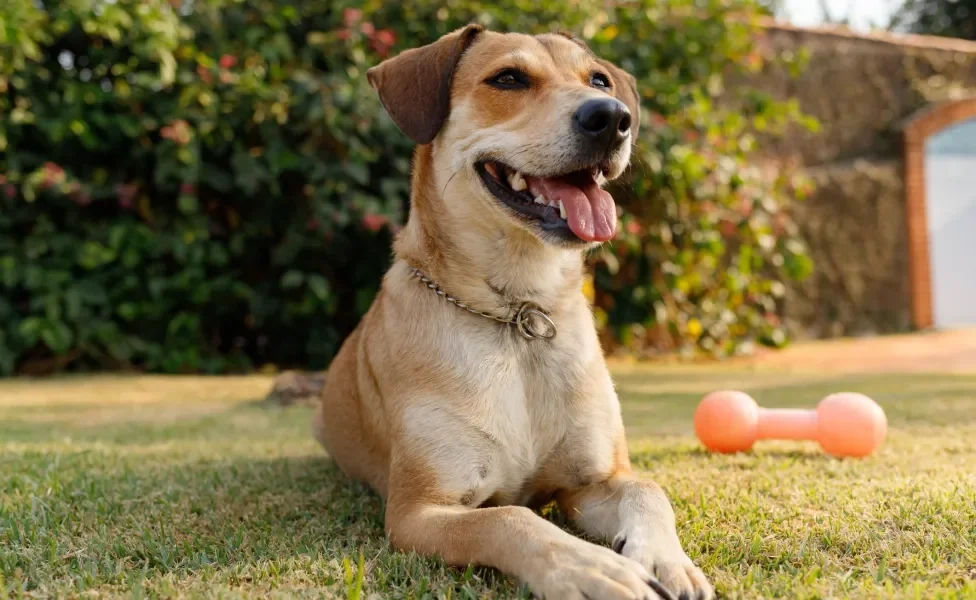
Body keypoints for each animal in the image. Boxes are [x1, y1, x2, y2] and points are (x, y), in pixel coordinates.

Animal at [316, 25, 712, 600]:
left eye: (599, 80)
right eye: (508, 78)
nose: (612, 117)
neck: (519, 312)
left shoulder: (592, 483)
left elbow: (648, 488)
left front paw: (667, 559)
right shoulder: (419, 512)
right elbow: (509, 518)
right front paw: (589, 569)